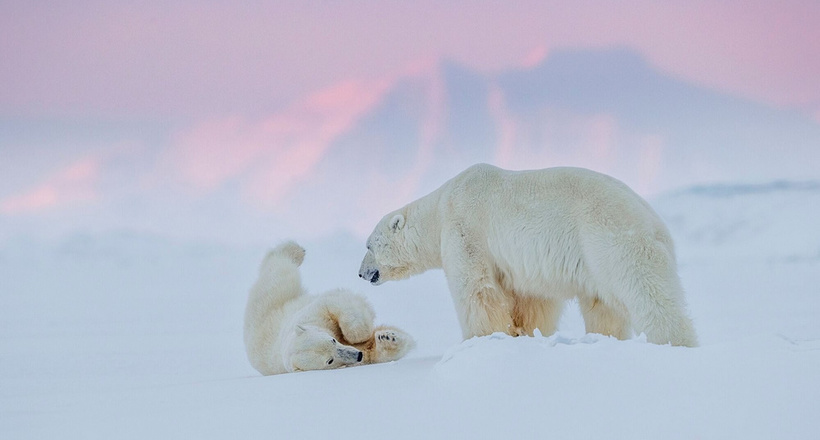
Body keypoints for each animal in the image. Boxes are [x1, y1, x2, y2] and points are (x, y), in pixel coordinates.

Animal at [242, 241, 410, 374]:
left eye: (332, 340)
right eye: (329, 360)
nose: (357, 355)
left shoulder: (314, 315)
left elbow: (337, 304)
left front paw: (367, 334)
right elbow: (370, 350)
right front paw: (387, 338)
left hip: (276, 295)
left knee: (280, 269)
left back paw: (296, 250)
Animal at [358, 163, 700, 346]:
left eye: (368, 245)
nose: (361, 273)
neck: (440, 207)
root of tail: (657, 224)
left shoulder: (466, 229)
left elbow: (477, 290)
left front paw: (482, 338)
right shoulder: (525, 264)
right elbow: (532, 299)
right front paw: (525, 333)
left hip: (611, 240)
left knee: (647, 293)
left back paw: (674, 341)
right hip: (597, 258)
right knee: (603, 305)